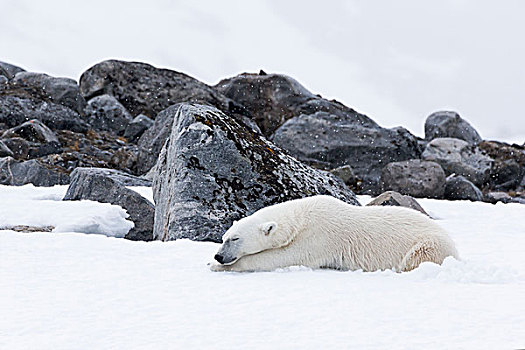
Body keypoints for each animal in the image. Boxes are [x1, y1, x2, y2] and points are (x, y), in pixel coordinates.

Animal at [211, 196, 456, 272]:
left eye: (235, 238)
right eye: (223, 238)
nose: (219, 256)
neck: (301, 217)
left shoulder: (319, 236)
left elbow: (284, 257)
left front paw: (216, 266)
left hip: (429, 244)